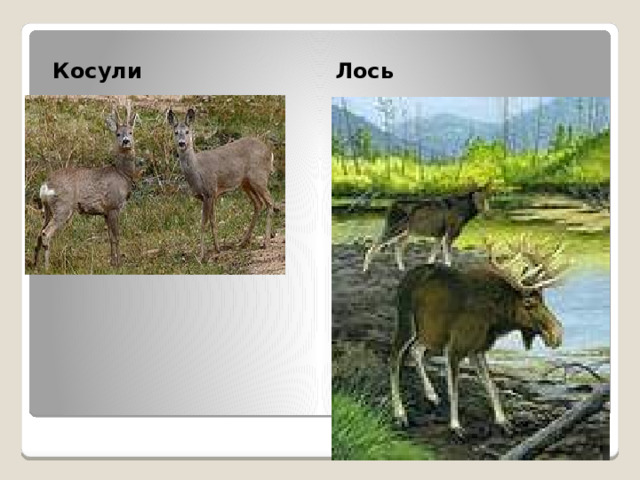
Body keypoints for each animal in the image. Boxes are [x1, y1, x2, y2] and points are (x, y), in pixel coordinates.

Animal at [33, 100, 141, 271]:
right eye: (118, 134)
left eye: (131, 132)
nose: (126, 141)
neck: (122, 175)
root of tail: (45, 186)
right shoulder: (113, 206)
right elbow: (117, 236)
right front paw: (119, 264)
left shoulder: (105, 212)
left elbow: (109, 237)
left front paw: (112, 262)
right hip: (63, 206)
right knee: (46, 233)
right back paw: (47, 267)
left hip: (48, 208)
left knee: (39, 232)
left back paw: (35, 265)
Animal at [167, 108, 275, 260]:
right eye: (176, 132)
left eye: (187, 131)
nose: (182, 143)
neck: (197, 171)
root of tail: (269, 152)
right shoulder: (209, 196)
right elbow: (213, 221)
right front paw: (217, 249)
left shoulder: (209, 191)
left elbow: (203, 223)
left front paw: (201, 256)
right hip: (246, 183)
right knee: (258, 203)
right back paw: (242, 242)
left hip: (259, 177)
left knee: (270, 202)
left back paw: (265, 242)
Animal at [389, 236, 567, 438]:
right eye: (529, 303)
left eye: (543, 300)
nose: (557, 334)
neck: (496, 318)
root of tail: (403, 280)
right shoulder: (455, 348)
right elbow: (454, 389)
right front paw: (455, 425)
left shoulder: (478, 349)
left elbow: (492, 386)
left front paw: (503, 421)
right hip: (407, 325)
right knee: (394, 359)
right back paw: (400, 414)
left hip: (430, 333)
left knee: (416, 350)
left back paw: (431, 395)